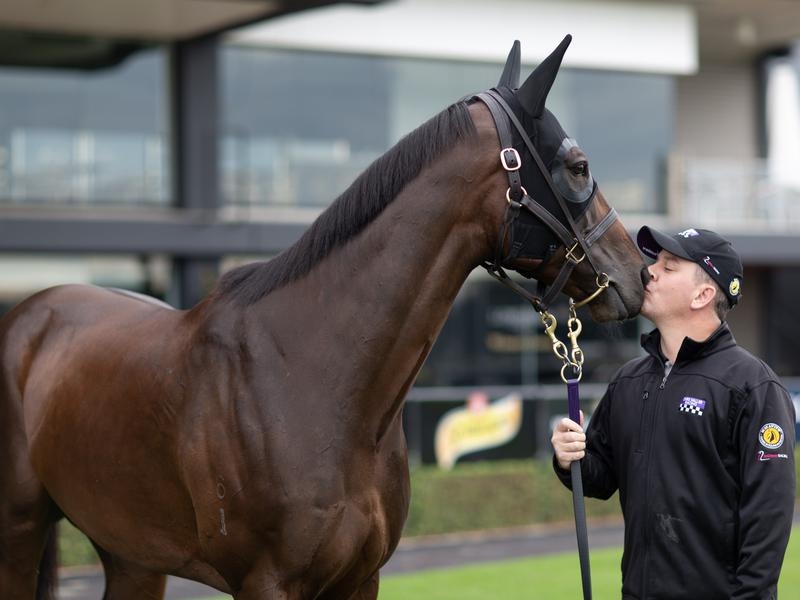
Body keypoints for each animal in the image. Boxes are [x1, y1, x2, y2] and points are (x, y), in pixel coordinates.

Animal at [0, 36, 648, 600]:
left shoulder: (361, 579)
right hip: (20, 532)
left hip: (132, 554)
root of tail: (28, 315)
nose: (636, 274)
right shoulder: (266, 584)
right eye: (578, 165)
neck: (313, 377)